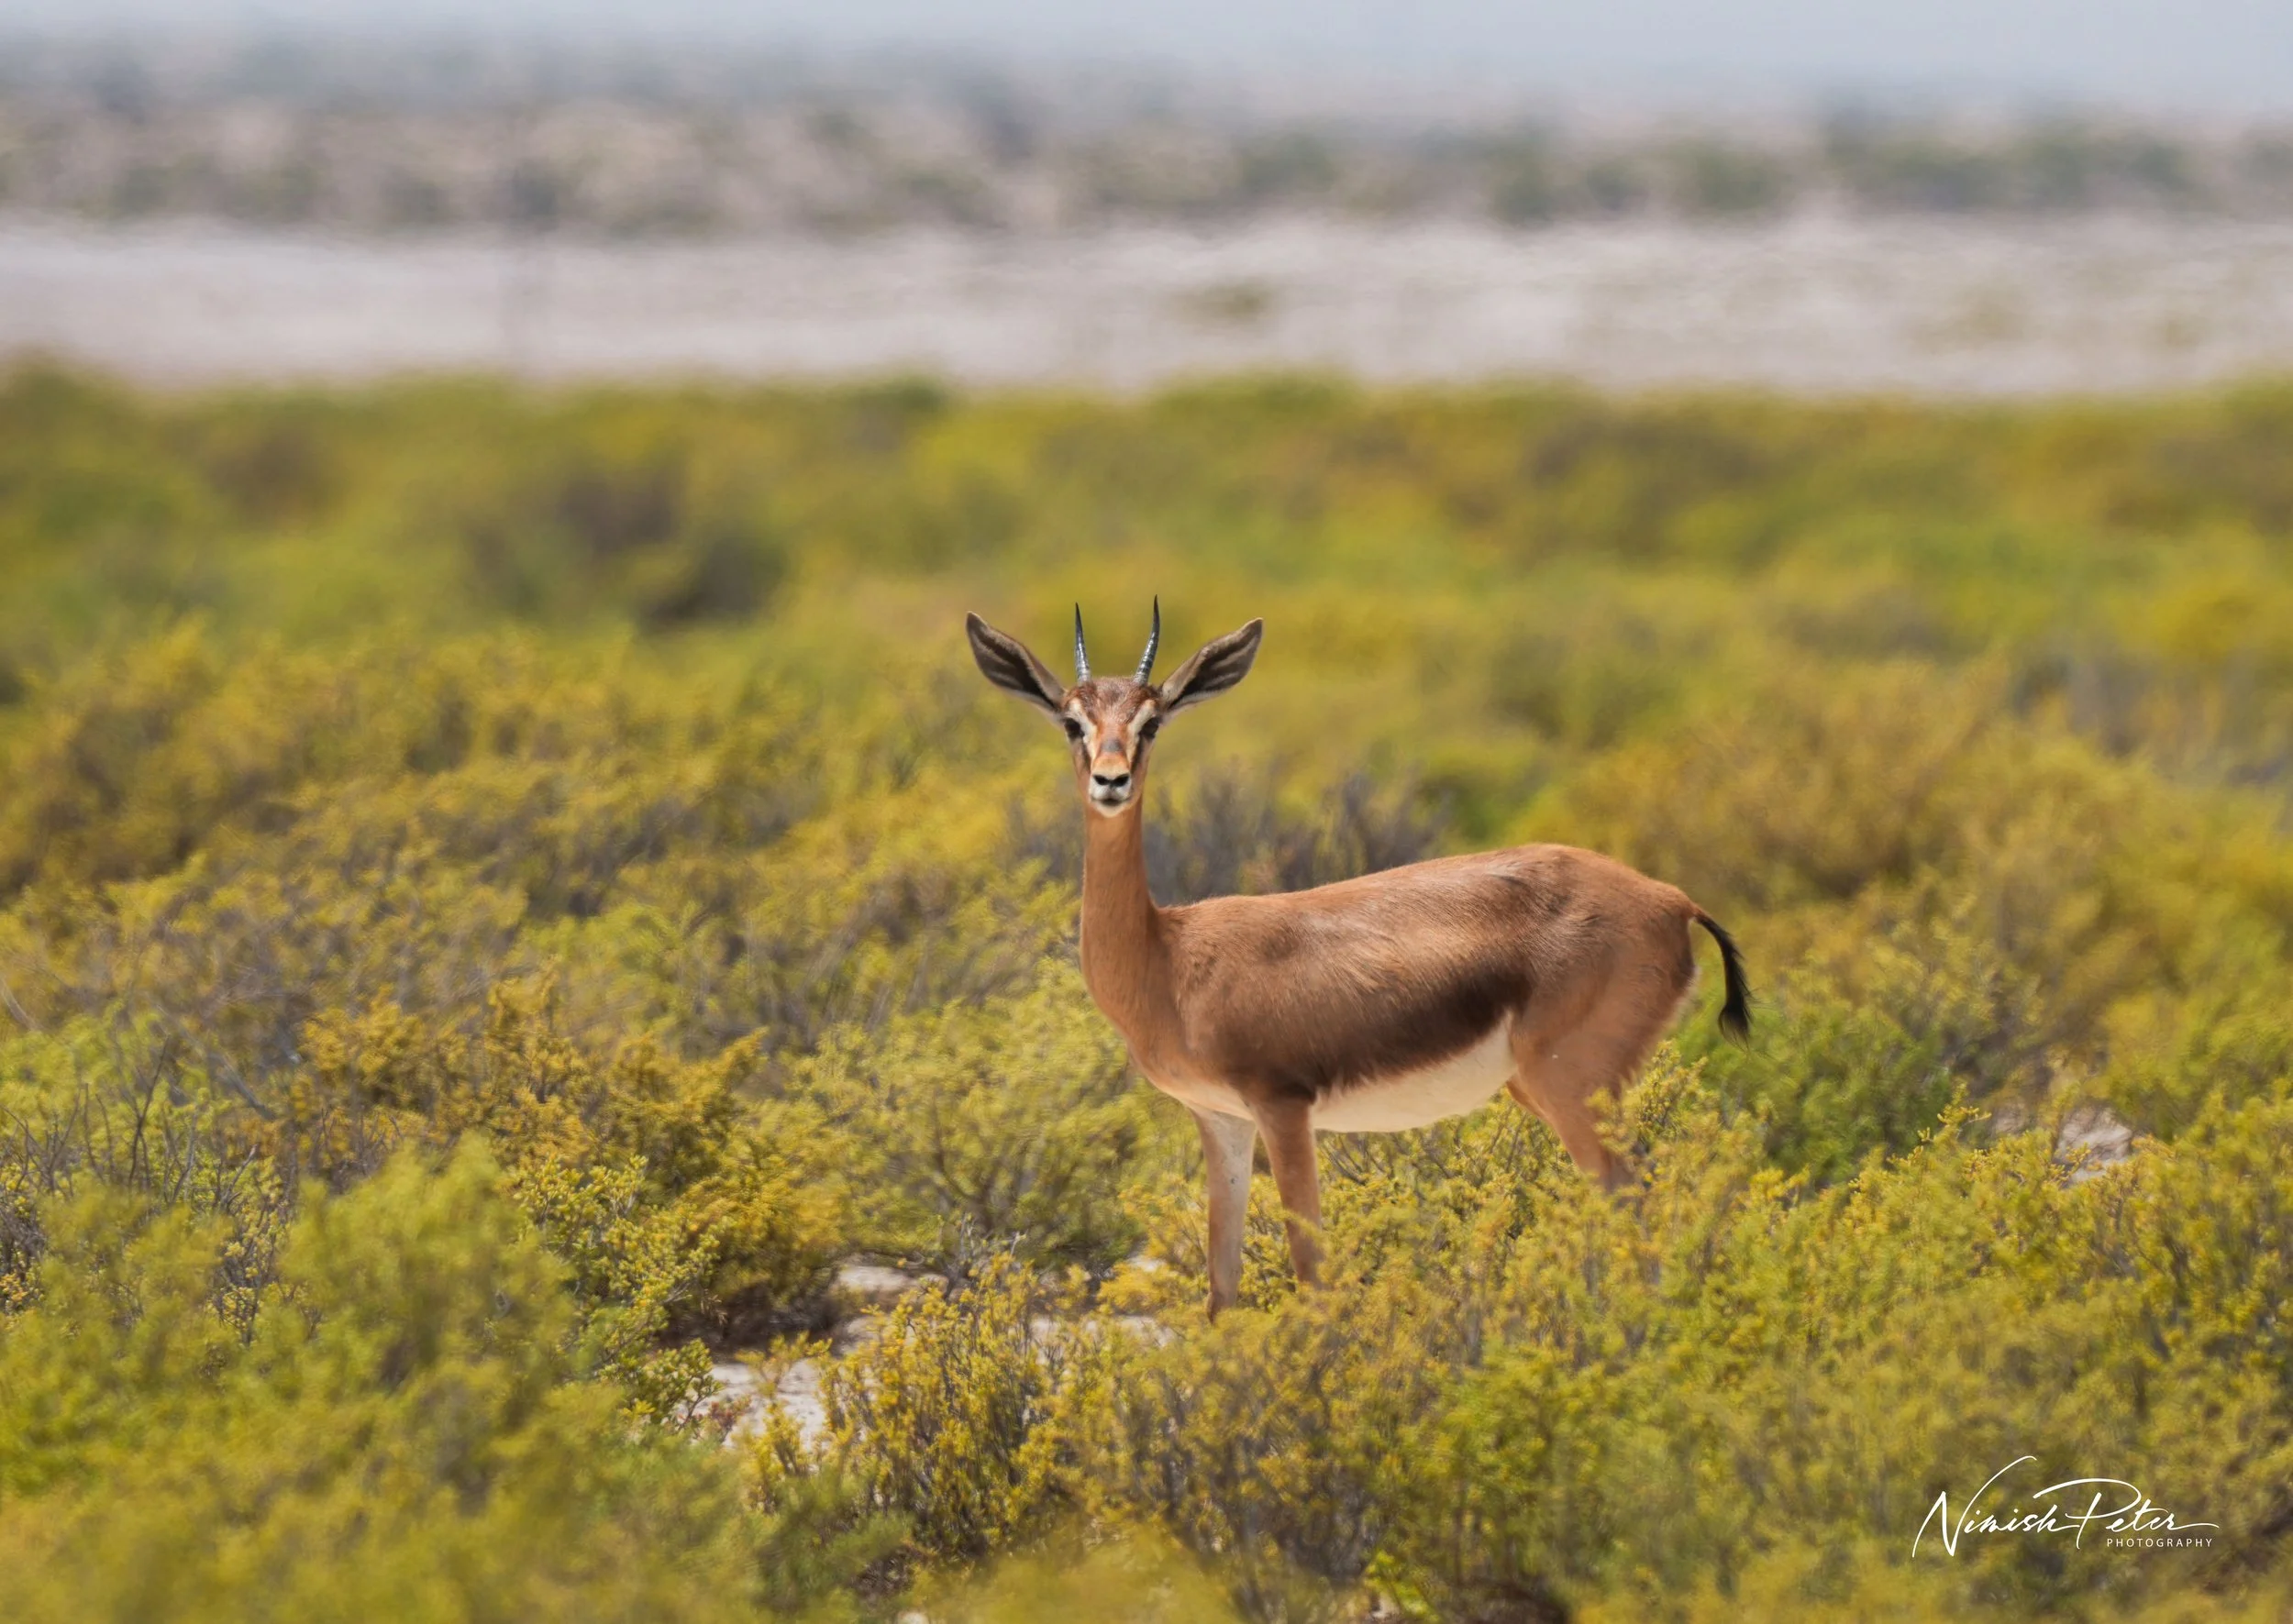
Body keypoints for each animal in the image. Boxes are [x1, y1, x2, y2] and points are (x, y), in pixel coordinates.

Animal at [967, 603, 1750, 1316]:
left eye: (1151, 721)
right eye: (1072, 720)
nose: (1111, 780)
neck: (1170, 958)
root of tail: (1673, 899)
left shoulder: (1283, 1106)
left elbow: (1311, 1271)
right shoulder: (1221, 1118)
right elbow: (1223, 1286)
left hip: (1569, 1087)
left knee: (1634, 1198)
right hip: (1546, 1089)